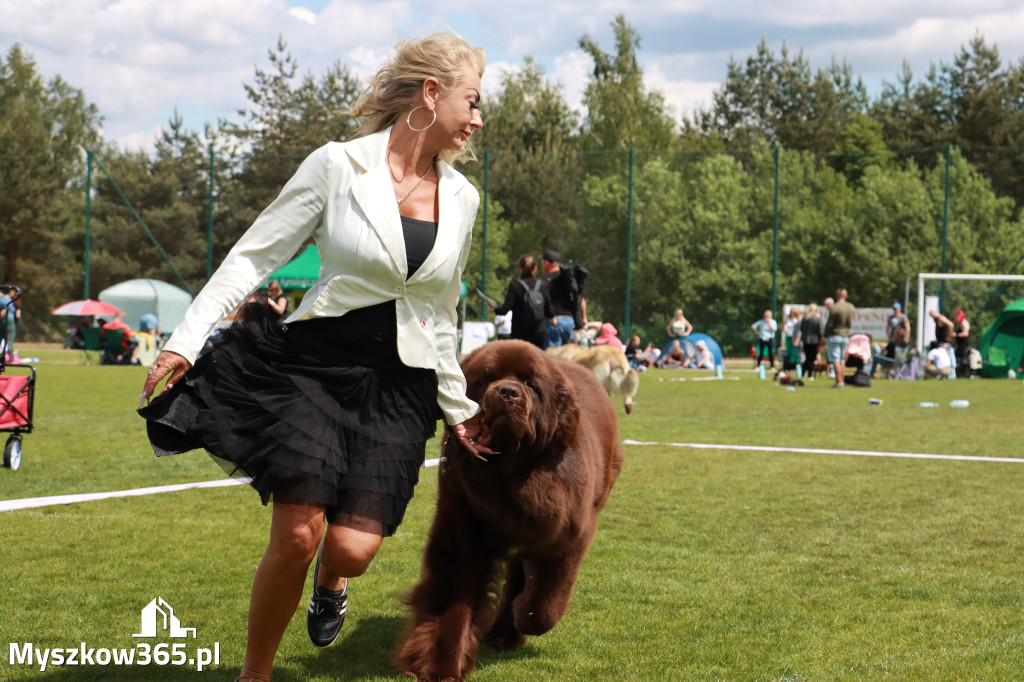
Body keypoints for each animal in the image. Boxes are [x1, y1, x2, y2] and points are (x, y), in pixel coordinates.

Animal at [397, 337, 622, 675]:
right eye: (486, 380)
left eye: (531, 384)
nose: (507, 391)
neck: (508, 473)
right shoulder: (461, 527)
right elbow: (451, 598)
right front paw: (440, 665)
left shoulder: (568, 533)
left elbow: (544, 606)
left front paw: (522, 613)